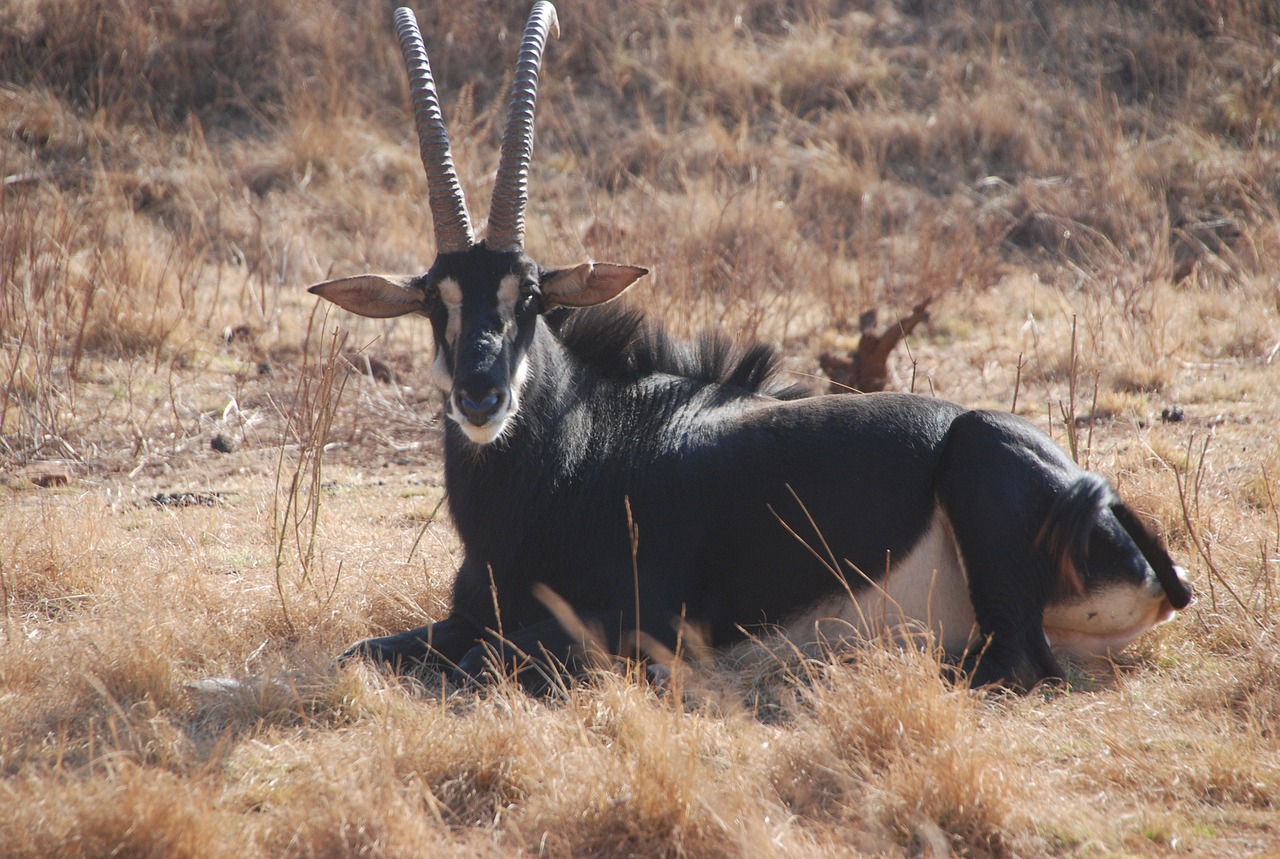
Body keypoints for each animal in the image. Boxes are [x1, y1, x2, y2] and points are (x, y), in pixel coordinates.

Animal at [309, 3, 1187, 696]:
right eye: (436, 300)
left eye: (529, 295)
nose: (481, 395)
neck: (578, 449)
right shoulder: (463, 615)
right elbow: (360, 652)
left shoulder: (632, 625)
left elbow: (485, 661)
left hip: (980, 484)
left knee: (1010, 666)